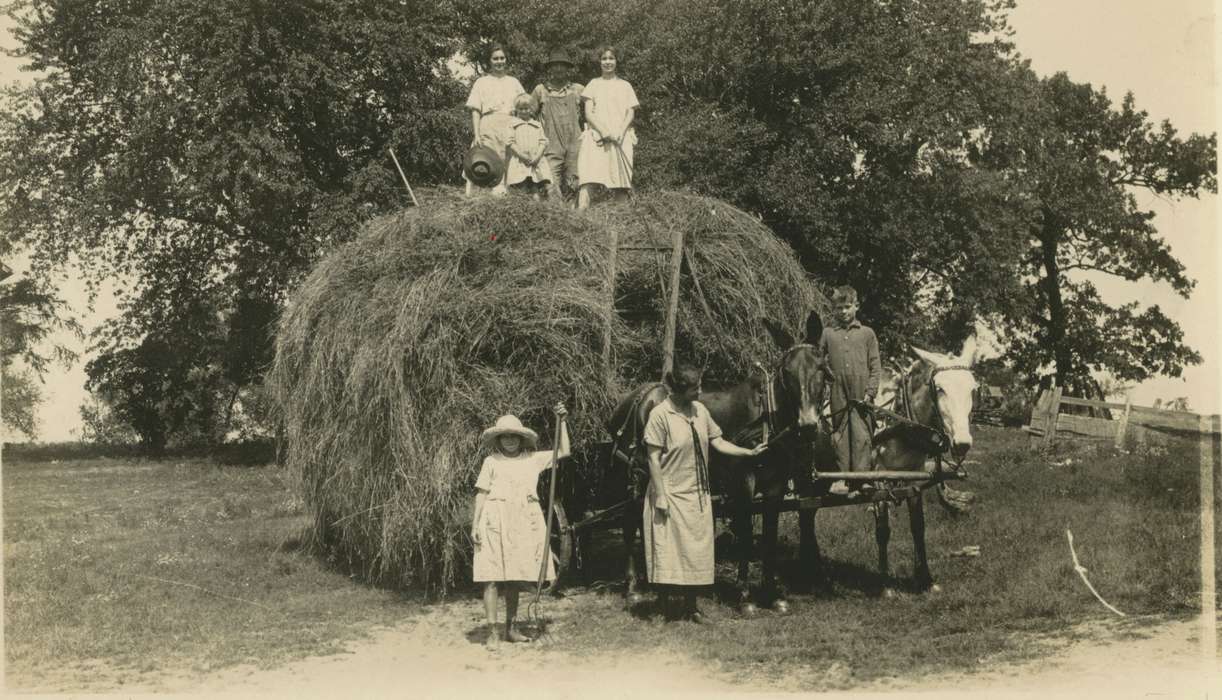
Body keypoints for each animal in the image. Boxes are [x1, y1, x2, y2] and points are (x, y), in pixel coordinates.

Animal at [860, 334, 982, 591]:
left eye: (973, 389)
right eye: (940, 389)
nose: (962, 443)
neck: (900, 419)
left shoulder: (914, 475)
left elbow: (918, 526)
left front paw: (924, 577)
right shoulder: (879, 477)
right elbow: (883, 529)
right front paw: (884, 581)